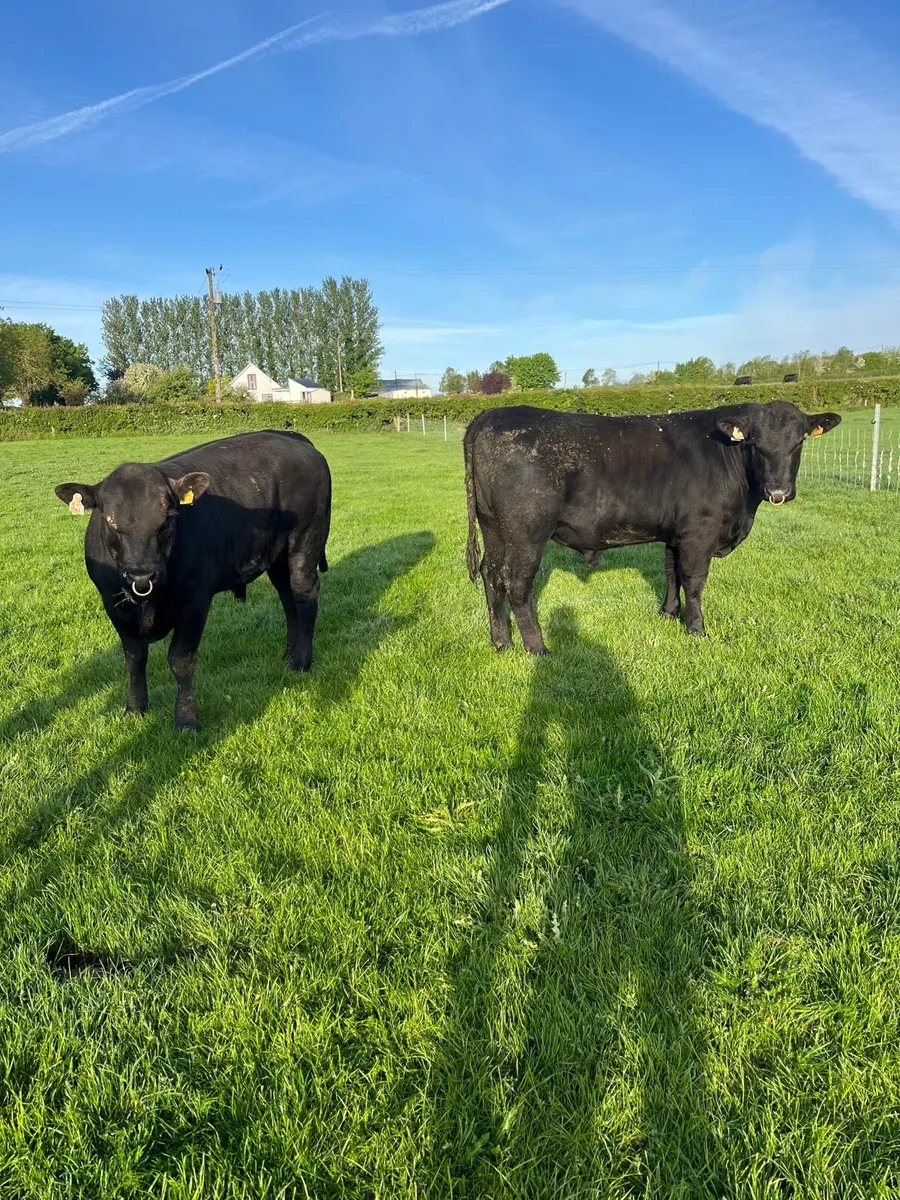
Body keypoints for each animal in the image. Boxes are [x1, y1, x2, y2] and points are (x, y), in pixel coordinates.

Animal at [55, 430, 331, 730]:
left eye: (167, 518)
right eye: (109, 520)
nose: (142, 575)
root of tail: (292, 437)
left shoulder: (195, 601)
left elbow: (181, 660)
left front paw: (186, 720)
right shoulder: (113, 604)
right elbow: (134, 657)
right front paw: (135, 709)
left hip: (306, 539)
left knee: (304, 595)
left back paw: (301, 661)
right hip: (277, 556)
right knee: (288, 599)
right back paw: (289, 655)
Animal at [464, 401, 840, 653]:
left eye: (799, 442)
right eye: (755, 444)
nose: (778, 492)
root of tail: (492, 413)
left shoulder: (676, 534)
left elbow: (672, 573)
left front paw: (669, 614)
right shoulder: (699, 534)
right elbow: (694, 582)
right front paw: (697, 629)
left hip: (493, 526)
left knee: (491, 575)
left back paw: (502, 642)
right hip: (527, 531)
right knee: (517, 584)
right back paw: (537, 647)